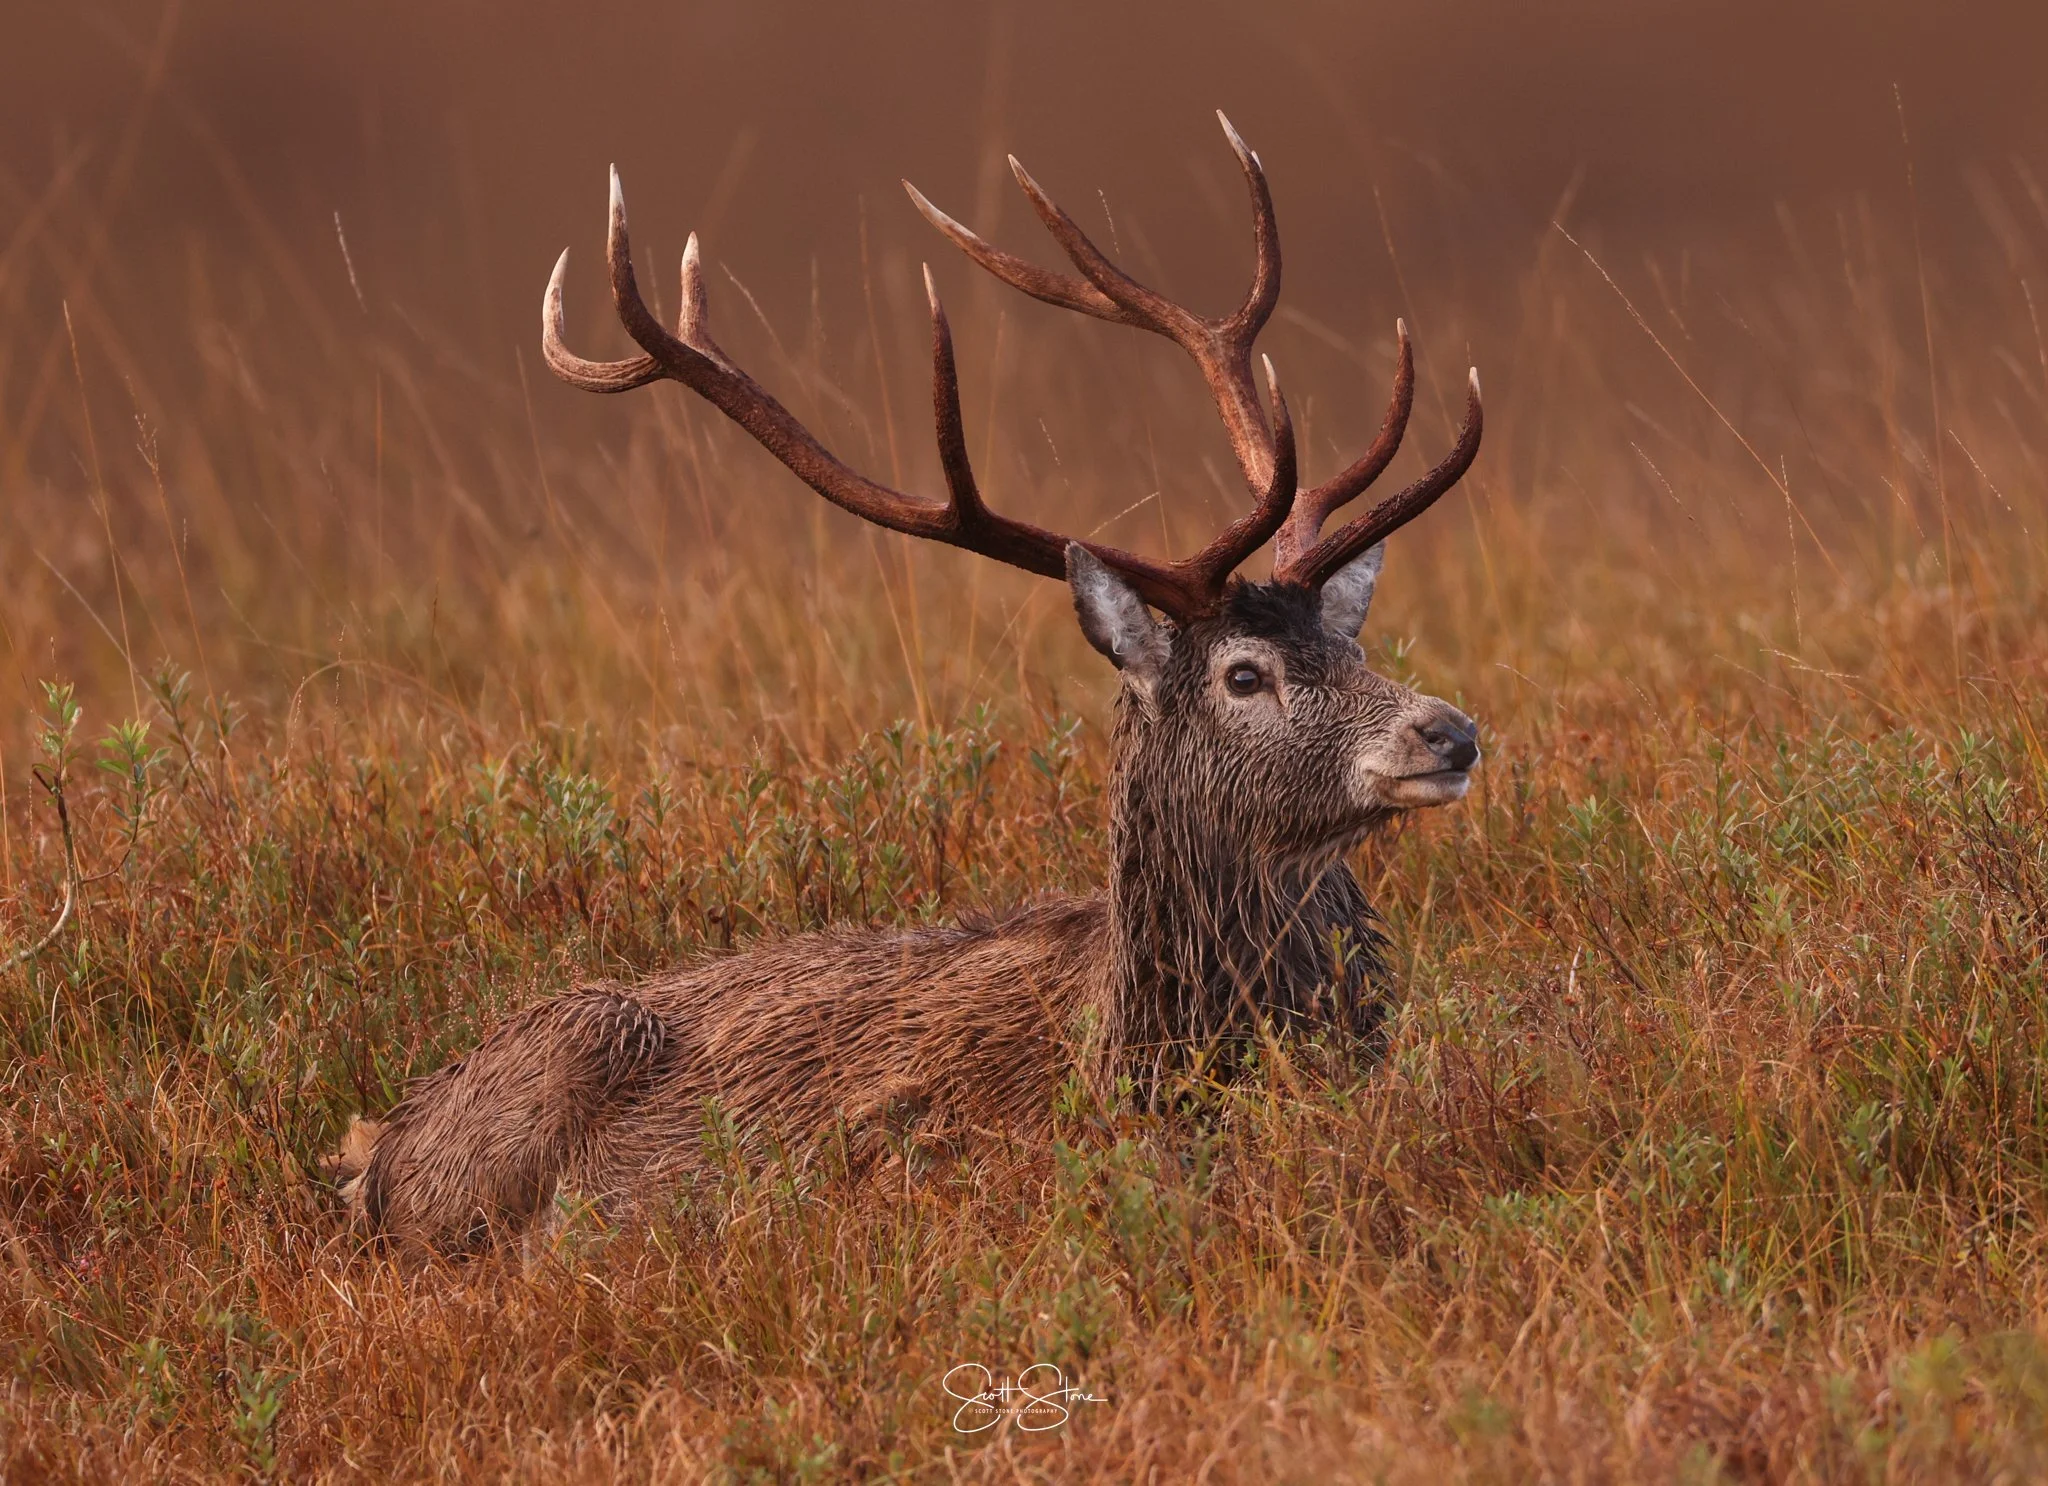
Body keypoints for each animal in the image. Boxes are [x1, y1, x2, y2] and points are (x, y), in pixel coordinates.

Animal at [331, 114, 1484, 1251]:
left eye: (1353, 650)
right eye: (1244, 674)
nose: (1451, 731)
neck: (1127, 1049)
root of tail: (376, 1149)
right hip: (550, 1069)